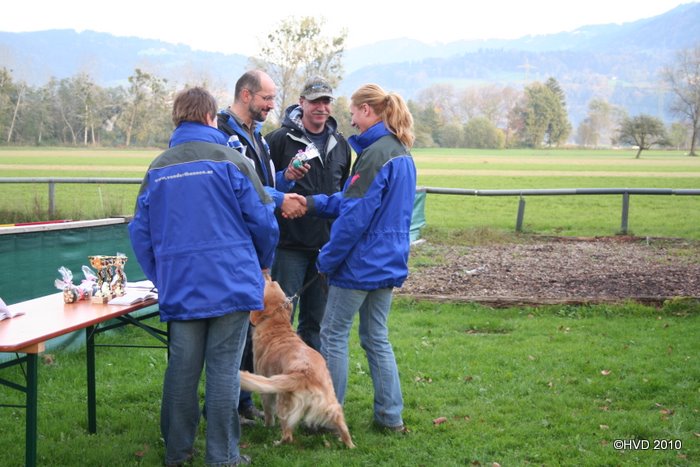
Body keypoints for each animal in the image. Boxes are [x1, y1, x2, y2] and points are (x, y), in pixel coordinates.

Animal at [239, 276, 355, 448]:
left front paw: (267, 426)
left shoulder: (266, 390)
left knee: (288, 435)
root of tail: (305, 374)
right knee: (341, 422)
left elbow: (268, 413)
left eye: (268, 283)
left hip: (283, 403)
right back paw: (349, 444)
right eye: (273, 282)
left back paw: (276, 443)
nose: (266, 275)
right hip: (331, 402)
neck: (277, 325)